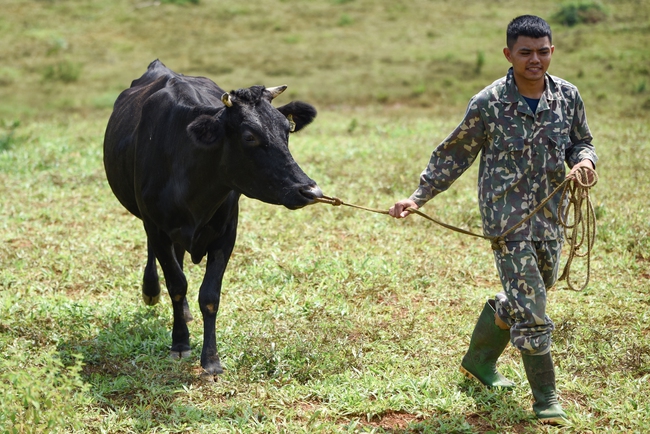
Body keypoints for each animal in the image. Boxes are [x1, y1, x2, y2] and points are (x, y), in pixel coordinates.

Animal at [103, 61, 322, 376]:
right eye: (249, 136)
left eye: (287, 130)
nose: (310, 189)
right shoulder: (156, 227)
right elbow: (177, 284)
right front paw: (180, 343)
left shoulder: (226, 233)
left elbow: (209, 296)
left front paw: (211, 358)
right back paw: (151, 290)